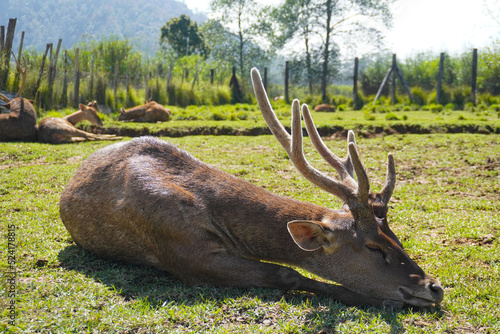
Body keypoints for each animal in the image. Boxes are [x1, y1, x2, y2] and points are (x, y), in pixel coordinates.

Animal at [56, 68, 444, 308]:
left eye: (396, 237)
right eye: (373, 248)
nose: (434, 286)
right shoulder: (183, 252)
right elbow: (287, 272)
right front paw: (377, 299)